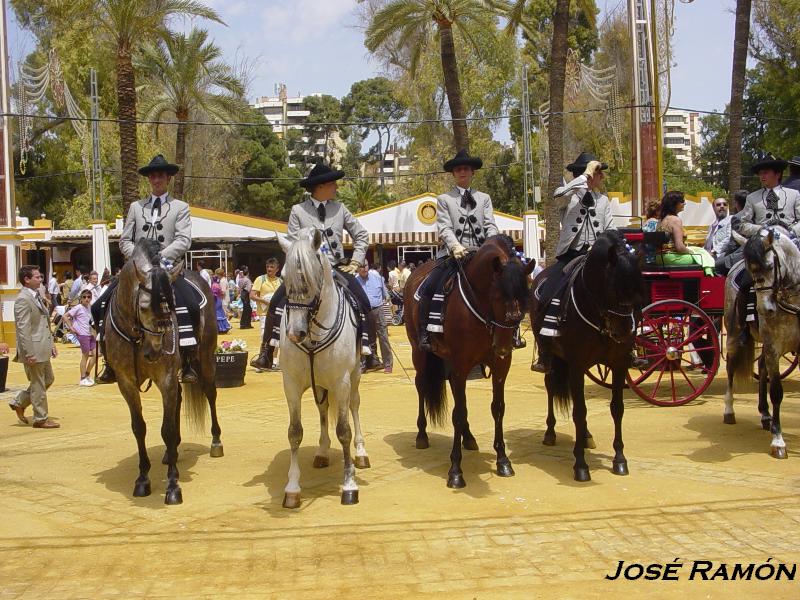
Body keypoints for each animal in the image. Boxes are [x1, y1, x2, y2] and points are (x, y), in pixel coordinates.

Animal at [104, 239, 222, 502]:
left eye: (171, 307)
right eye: (143, 306)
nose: (154, 352)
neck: (137, 338)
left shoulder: (166, 377)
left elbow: (166, 429)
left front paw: (173, 485)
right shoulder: (126, 382)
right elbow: (139, 427)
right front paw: (142, 479)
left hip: (206, 359)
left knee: (210, 393)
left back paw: (215, 442)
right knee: (178, 400)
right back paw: (172, 452)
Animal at [278, 225, 368, 506]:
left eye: (311, 277)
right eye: (282, 276)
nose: (295, 332)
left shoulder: (342, 381)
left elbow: (344, 430)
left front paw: (349, 485)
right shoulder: (291, 384)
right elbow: (294, 432)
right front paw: (292, 488)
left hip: (355, 376)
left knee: (354, 406)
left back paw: (361, 452)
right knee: (322, 409)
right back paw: (322, 451)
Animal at [406, 234, 532, 488]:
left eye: (525, 300)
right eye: (497, 296)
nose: (503, 346)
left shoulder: (500, 366)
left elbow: (497, 408)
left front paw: (503, 460)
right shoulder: (461, 365)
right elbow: (458, 412)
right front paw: (455, 470)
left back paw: (469, 437)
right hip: (419, 352)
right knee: (422, 385)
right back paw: (422, 435)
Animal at [532, 232, 644, 480]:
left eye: (639, 290)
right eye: (613, 288)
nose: (624, 332)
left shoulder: (619, 364)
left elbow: (617, 408)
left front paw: (619, 459)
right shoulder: (575, 365)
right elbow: (579, 411)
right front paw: (580, 464)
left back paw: (585, 436)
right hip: (552, 360)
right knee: (551, 388)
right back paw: (550, 432)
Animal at [724, 226, 800, 460]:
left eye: (769, 267)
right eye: (751, 269)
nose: (765, 309)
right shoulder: (773, 345)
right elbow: (776, 391)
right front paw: (778, 440)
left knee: (761, 367)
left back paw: (765, 414)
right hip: (734, 335)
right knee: (731, 368)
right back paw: (729, 411)